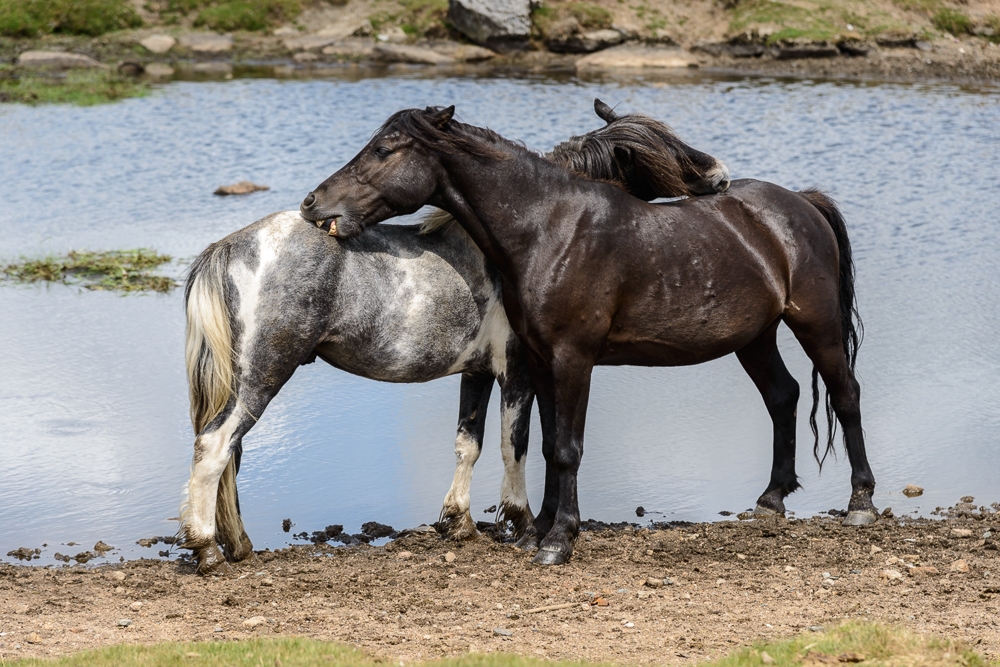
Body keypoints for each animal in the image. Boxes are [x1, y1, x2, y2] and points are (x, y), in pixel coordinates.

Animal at [182, 99, 728, 576]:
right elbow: (515, 444)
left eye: (384, 148)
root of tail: (230, 246)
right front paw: (521, 524)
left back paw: (238, 545)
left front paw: (458, 522)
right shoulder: (518, 369)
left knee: (229, 455)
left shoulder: (478, 371)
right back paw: (207, 550)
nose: (720, 176)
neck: (520, 243)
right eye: (664, 153)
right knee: (215, 446)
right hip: (262, 375)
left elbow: (470, 443)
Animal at [302, 107, 876, 568]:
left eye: (384, 149)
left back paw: (861, 504)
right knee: (784, 396)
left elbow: (566, 448)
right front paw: (537, 531)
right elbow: (547, 442)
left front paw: (558, 541)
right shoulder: (540, 360)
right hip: (754, 338)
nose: (313, 204)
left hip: (816, 324)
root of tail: (800, 203)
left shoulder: (571, 359)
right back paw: (772, 499)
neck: (550, 229)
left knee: (845, 395)